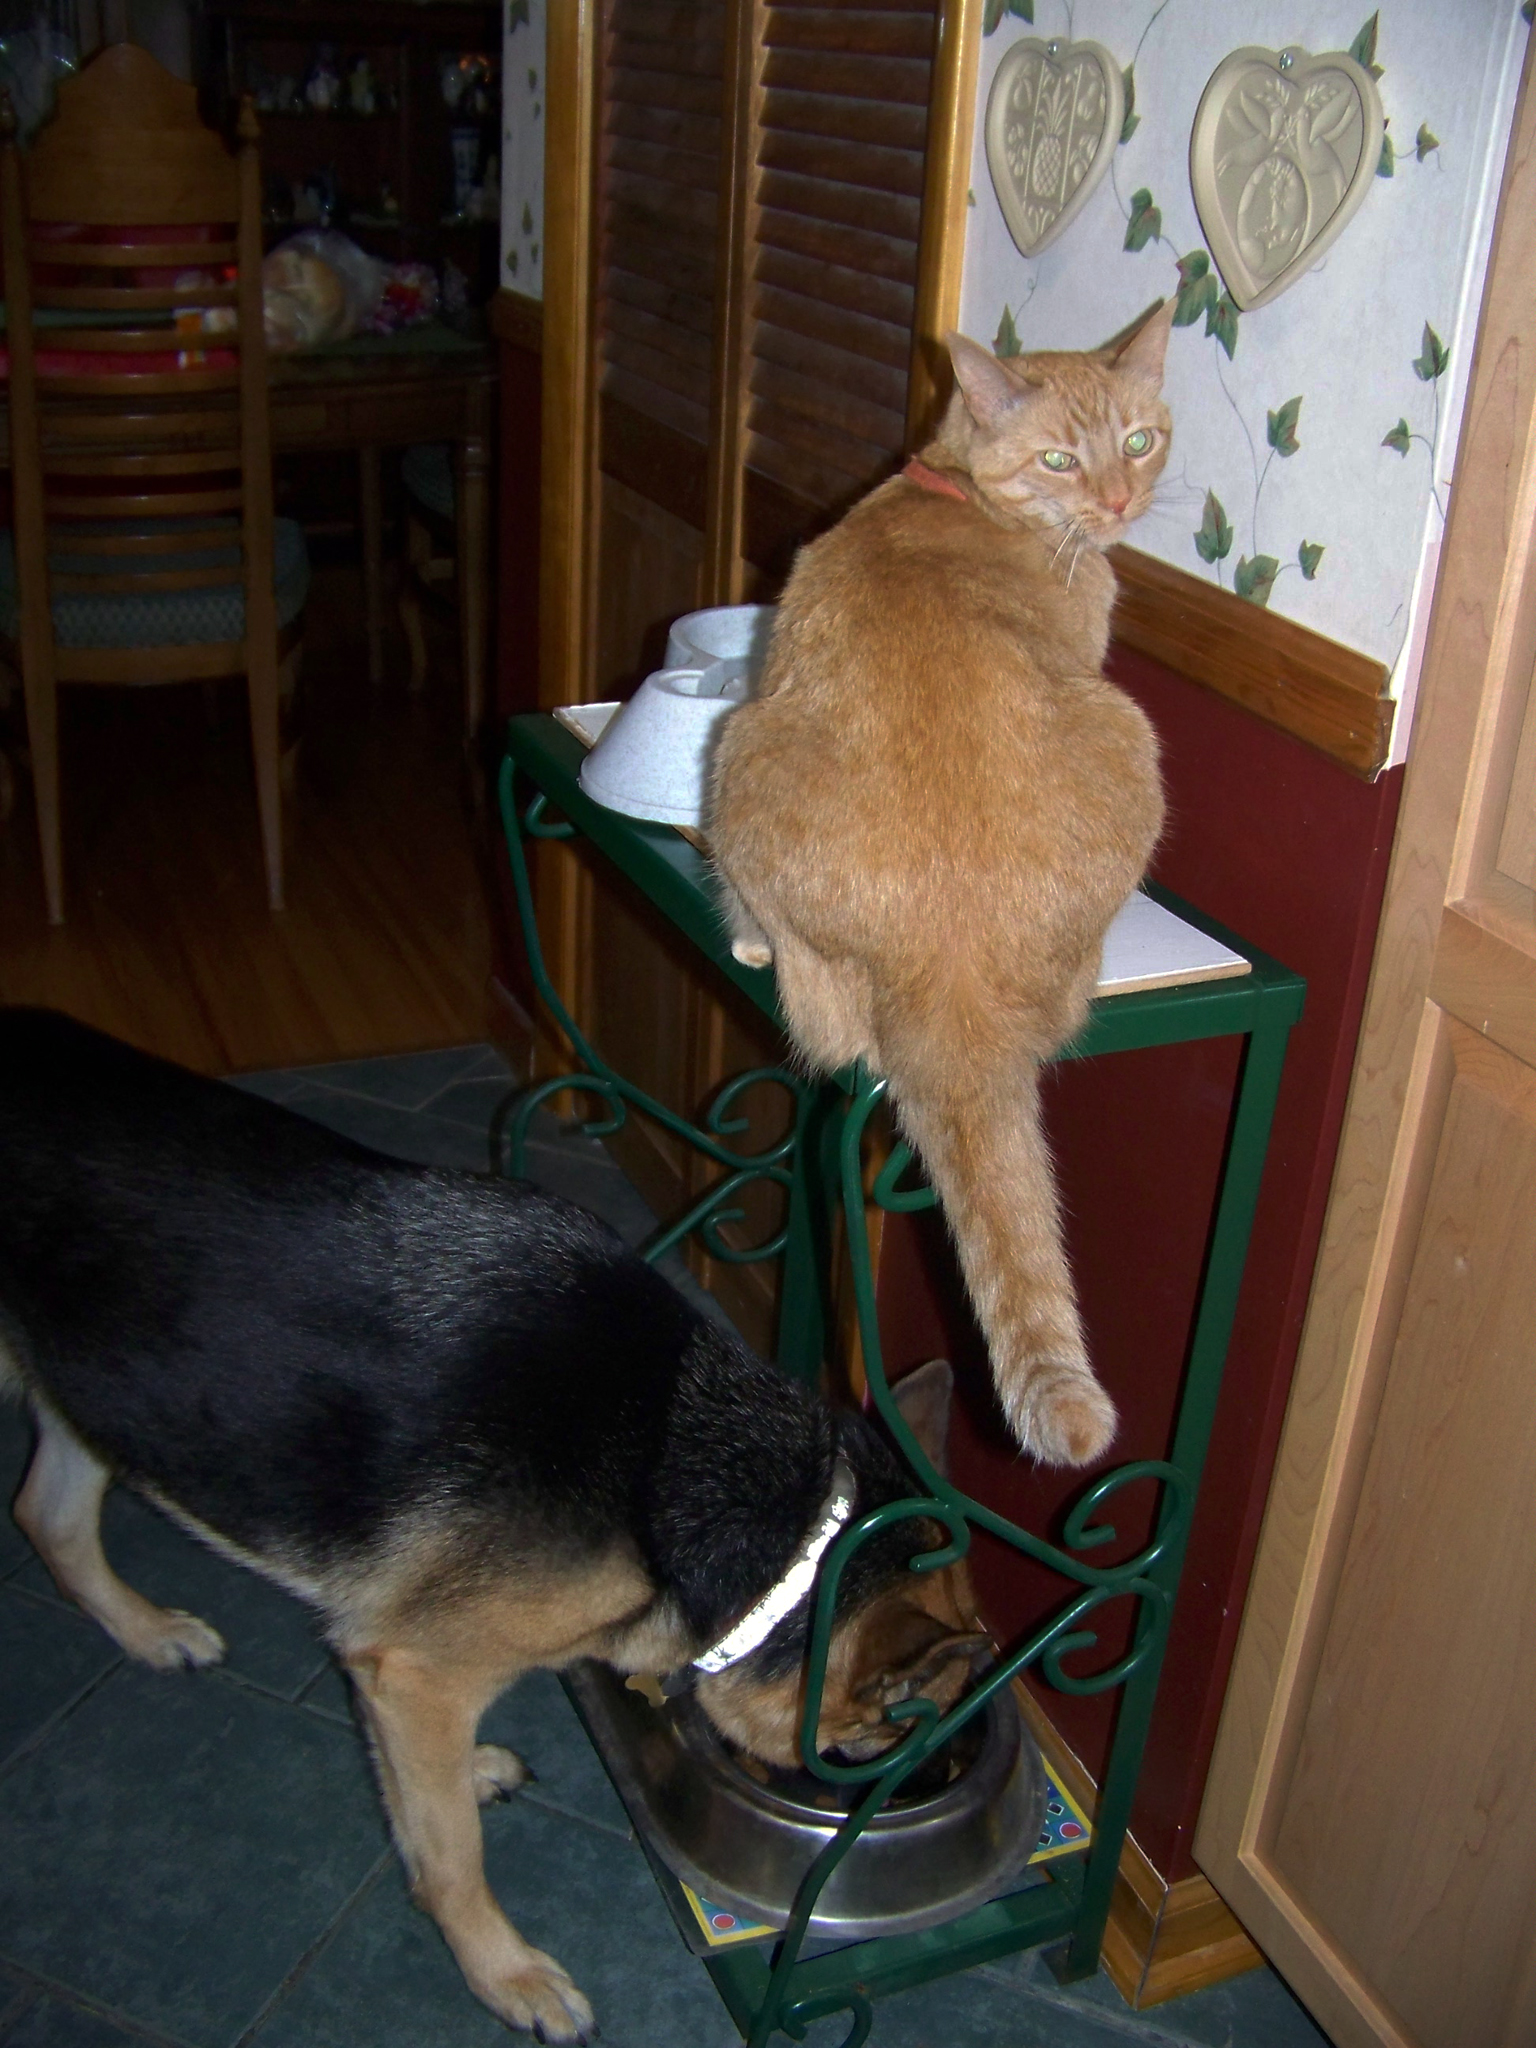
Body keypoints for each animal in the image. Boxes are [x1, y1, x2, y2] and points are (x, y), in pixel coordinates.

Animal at [0, 1015, 987, 2039]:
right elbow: (452, 1858)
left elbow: (417, 1796)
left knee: (47, 1515)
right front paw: (505, 1974)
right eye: (906, 1723)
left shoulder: (392, 1675)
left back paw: (148, 1632)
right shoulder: (417, 1673)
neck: (681, 1459)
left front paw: (460, 1780)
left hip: (100, 1393)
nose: (942, 1773)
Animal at [712, 303, 1179, 1466]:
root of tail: (954, 992)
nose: (1119, 502)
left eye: (1139, 441)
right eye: (1061, 459)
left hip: (748, 740)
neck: (964, 490)